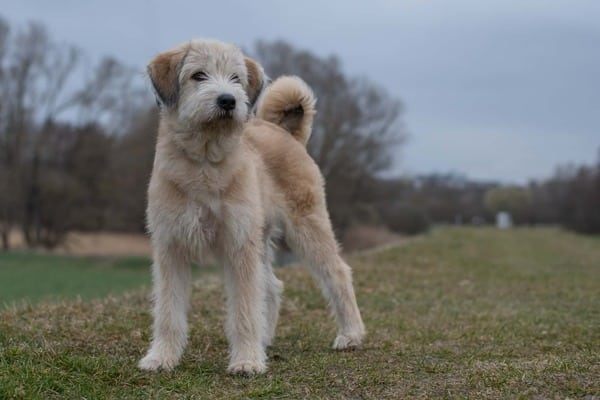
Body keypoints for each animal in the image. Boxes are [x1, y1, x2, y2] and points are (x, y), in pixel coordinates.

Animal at [138, 39, 365, 375]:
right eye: (198, 75)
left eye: (236, 78)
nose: (228, 100)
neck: (205, 161)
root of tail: (286, 133)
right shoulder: (171, 247)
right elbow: (168, 311)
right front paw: (161, 357)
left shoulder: (238, 245)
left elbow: (244, 309)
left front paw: (246, 360)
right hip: (261, 237)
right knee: (271, 287)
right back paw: (265, 340)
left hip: (307, 227)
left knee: (337, 273)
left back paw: (351, 334)